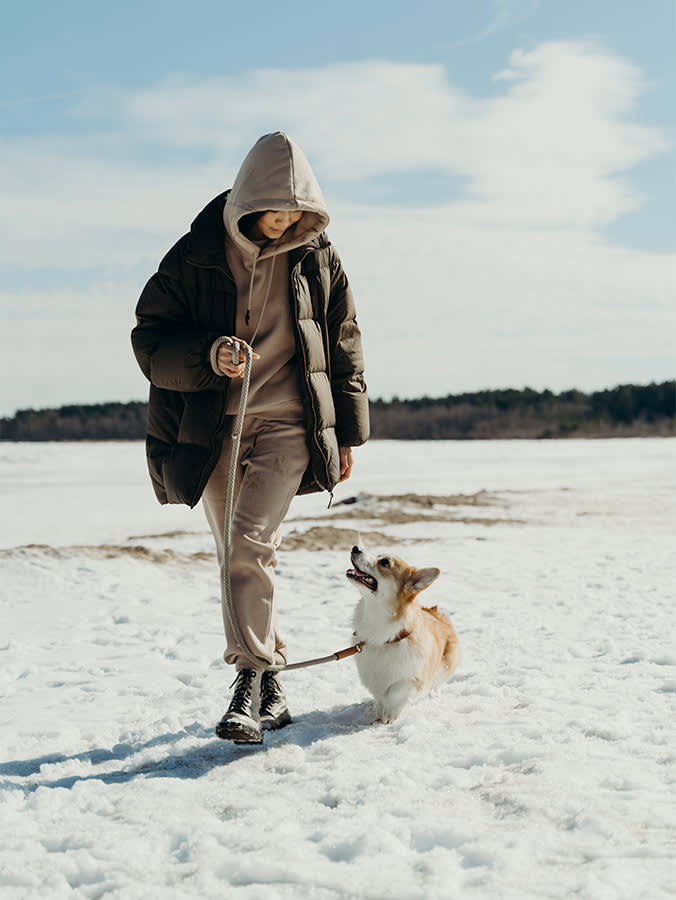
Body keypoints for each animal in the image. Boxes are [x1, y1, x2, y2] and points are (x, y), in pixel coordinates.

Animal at [348, 544, 460, 720]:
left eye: (385, 562)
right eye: (379, 555)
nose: (355, 548)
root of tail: (435, 611)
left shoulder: (414, 678)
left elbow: (395, 691)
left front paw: (389, 715)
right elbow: (379, 695)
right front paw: (379, 711)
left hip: (444, 667)